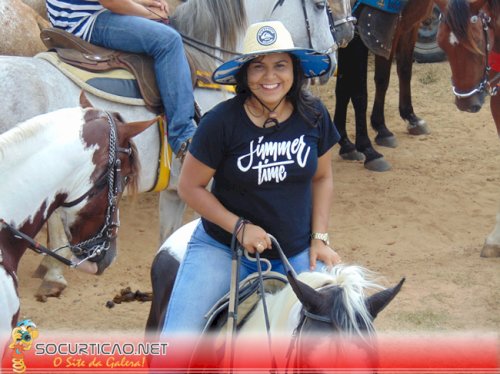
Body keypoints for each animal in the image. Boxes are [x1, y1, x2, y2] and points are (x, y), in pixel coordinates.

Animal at [334, 0, 436, 171]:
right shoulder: (358, 36)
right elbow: (357, 92)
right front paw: (367, 148)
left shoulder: (405, 28)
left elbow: (399, 72)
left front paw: (408, 117)